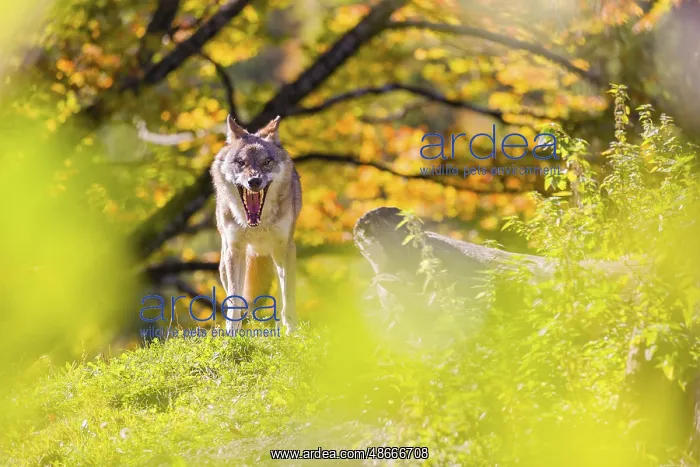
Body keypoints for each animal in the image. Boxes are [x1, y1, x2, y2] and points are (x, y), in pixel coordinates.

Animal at [210, 115, 302, 334]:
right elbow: (234, 299)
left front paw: (292, 332)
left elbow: (288, 296)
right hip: (227, 261)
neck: (256, 224)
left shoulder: (285, 248)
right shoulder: (234, 249)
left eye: (266, 162)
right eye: (241, 162)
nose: (254, 181)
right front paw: (232, 334)